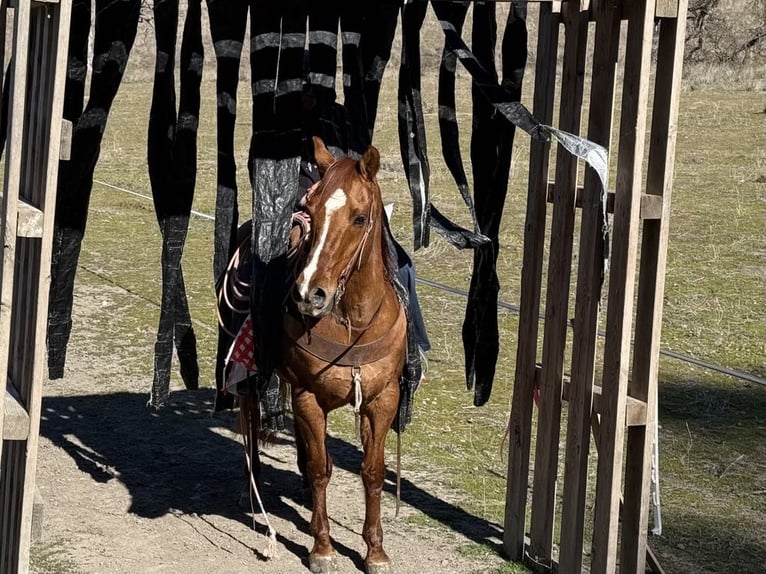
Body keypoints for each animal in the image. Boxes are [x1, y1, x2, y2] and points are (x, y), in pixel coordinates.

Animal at [278, 137, 407, 574]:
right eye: (311, 212)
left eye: (359, 218)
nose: (308, 294)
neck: (353, 320)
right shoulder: (308, 397)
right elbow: (321, 470)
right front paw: (322, 548)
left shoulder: (383, 399)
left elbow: (373, 472)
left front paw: (376, 551)